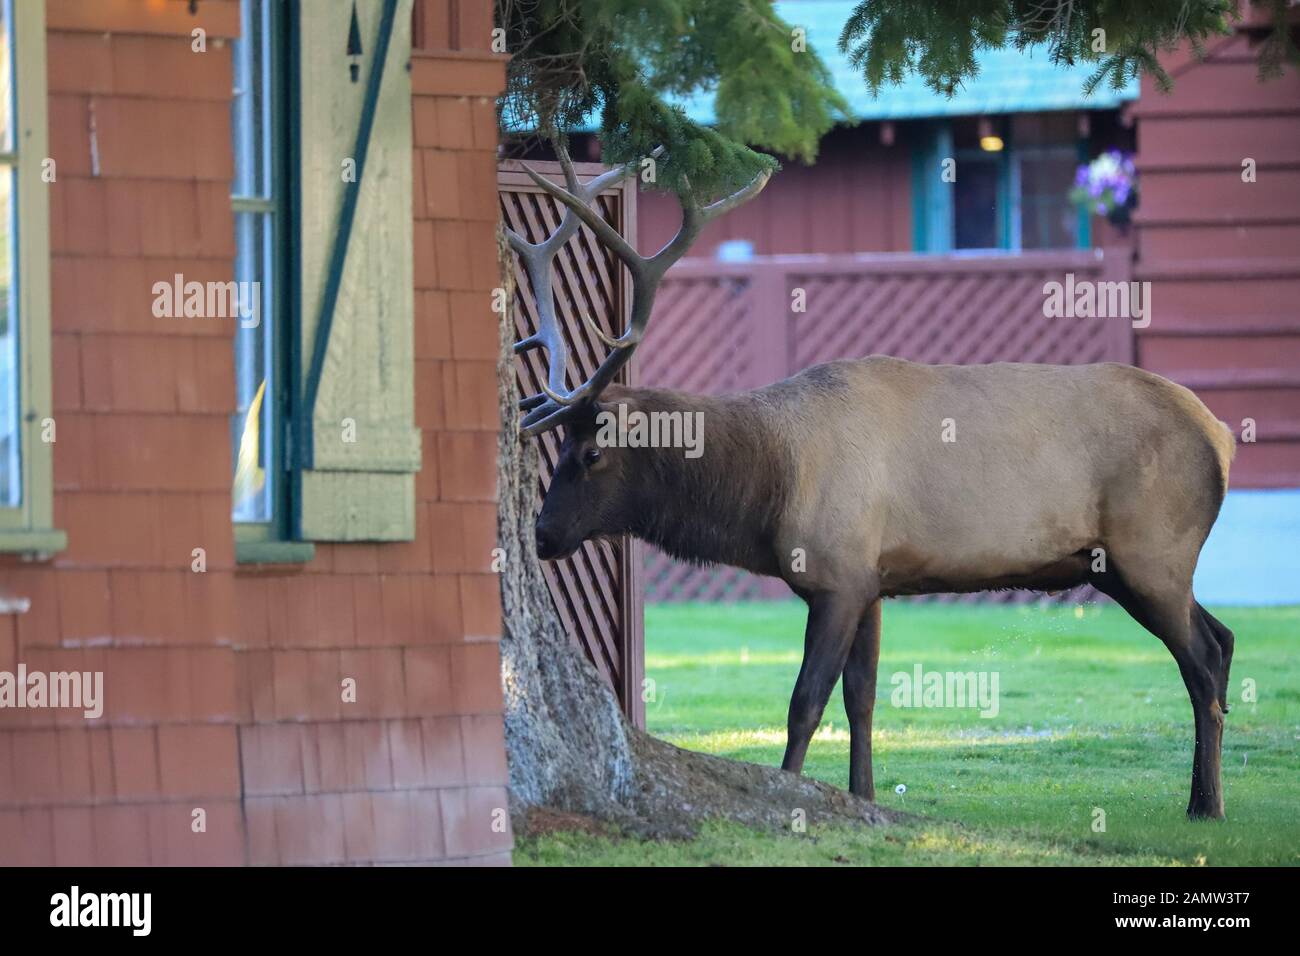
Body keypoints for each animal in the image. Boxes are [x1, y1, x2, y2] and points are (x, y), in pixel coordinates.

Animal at [507, 141, 1237, 820]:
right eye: (559, 444)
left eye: (591, 454)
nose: (542, 535)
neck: (769, 487)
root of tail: (1221, 435)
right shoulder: (873, 579)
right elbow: (862, 696)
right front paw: (865, 796)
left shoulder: (836, 576)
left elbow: (805, 700)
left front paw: (794, 793)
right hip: (1125, 566)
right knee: (1224, 639)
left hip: (1152, 553)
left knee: (1201, 660)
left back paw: (1205, 803)